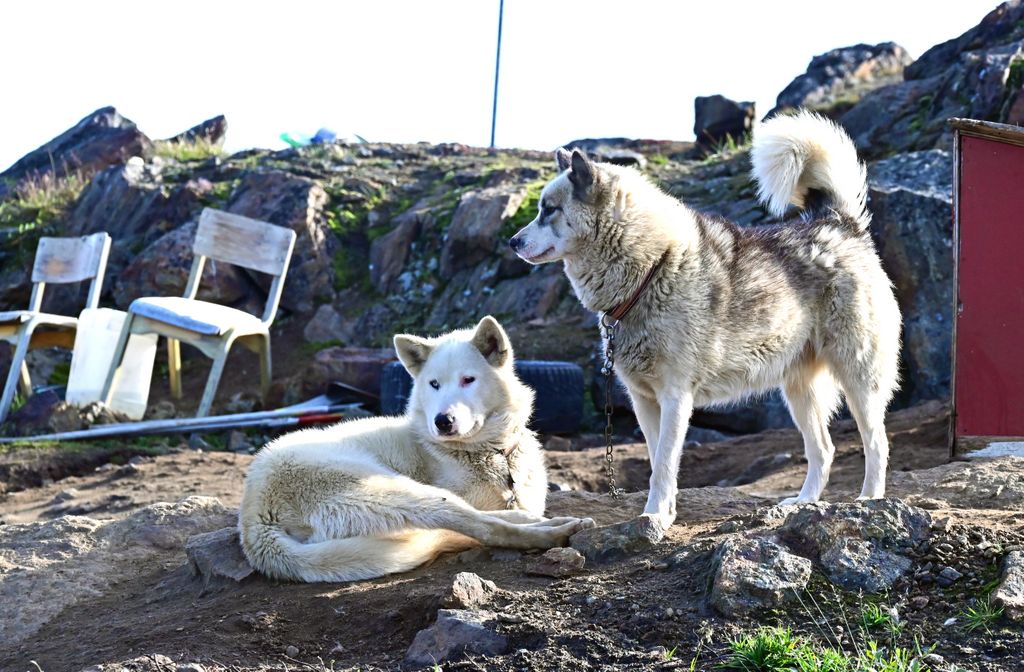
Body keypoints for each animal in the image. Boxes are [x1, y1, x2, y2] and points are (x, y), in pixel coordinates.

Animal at [239, 315, 593, 581]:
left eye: (468, 380)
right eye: (433, 384)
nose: (443, 422)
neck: (492, 453)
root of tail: (255, 522)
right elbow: (486, 520)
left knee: (493, 517)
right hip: (404, 491)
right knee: (484, 526)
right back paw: (555, 532)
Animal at [507, 111, 901, 540]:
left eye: (549, 209)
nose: (512, 242)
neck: (650, 269)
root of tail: (839, 224)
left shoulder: (675, 398)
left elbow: (663, 465)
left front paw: (654, 516)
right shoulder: (644, 401)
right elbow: (657, 461)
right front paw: (665, 512)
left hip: (858, 378)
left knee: (877, 443)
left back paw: (870, 499)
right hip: (799, 390)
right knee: (824, 449)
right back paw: (803, 502)